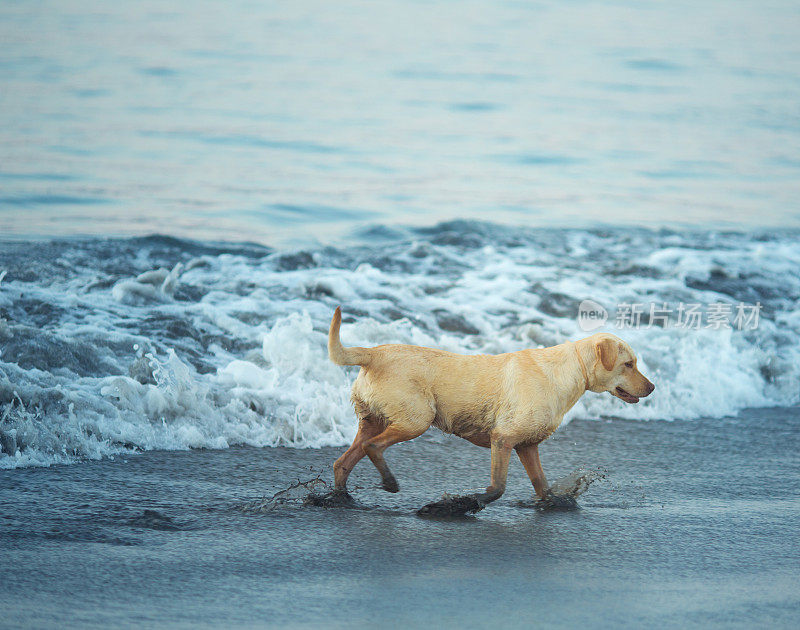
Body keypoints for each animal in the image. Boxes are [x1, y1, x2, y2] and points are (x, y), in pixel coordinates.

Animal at [328, 308, 652, 512]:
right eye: (629, 364)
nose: (651, 388)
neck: (571, 370)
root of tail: (373, 354)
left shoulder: (527, 445)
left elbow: (542, 485)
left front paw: (553, 502)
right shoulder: (503, 439)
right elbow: (497, 488)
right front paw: (457, 504)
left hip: (373, 419)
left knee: (344, 461)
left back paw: (341, 499)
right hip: (416, 419)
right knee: (373, 447)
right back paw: (389, 482)